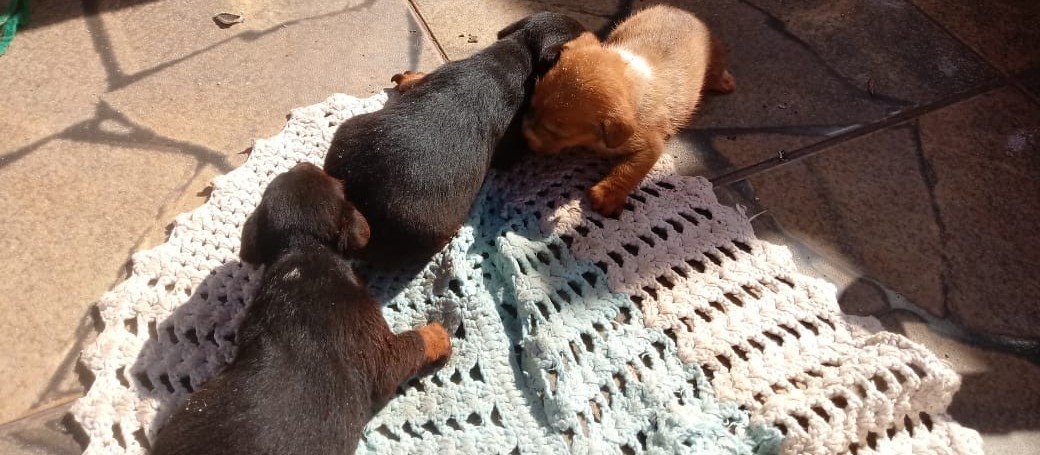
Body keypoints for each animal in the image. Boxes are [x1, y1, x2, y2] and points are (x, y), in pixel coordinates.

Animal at [150, 163, 451, 455]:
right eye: (338, 184)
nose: (303, 164)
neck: (303, 250)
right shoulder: (381, 352)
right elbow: (416, 343)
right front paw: (440, 334)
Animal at [524, 4, 736, 215]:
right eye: (531, 104)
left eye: (555, 131)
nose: (525, 137)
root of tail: (680, 10)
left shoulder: (650, 146)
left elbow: (629, 169)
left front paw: (607, 194)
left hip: (714, 54)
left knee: (716, 69)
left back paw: (724, 82)